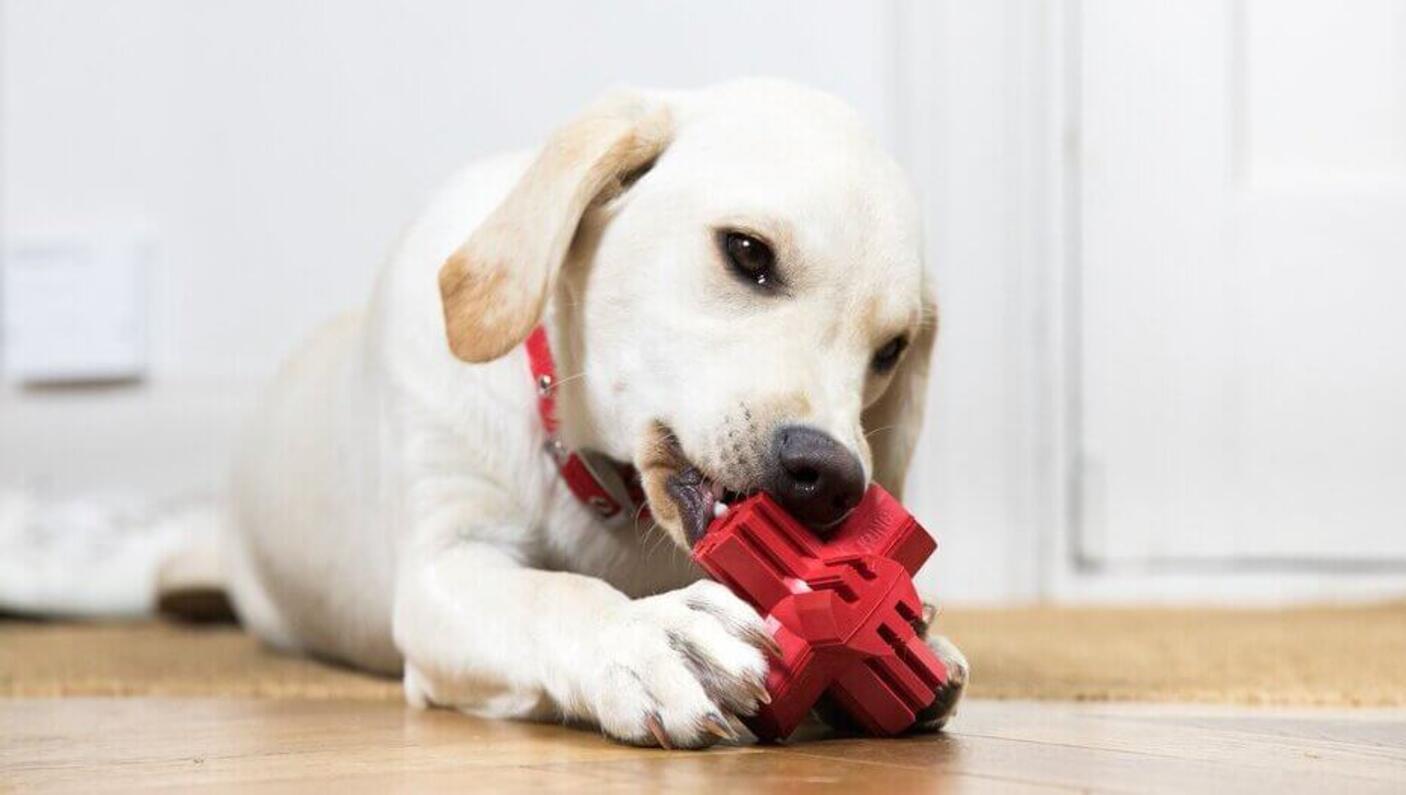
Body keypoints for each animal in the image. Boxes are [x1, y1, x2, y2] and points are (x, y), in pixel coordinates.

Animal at [227, 77, 967, 748]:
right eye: (747, 251)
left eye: (891, 350)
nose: (834, 478)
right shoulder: (444, 562)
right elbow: (551, 592)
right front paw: (646, 635)